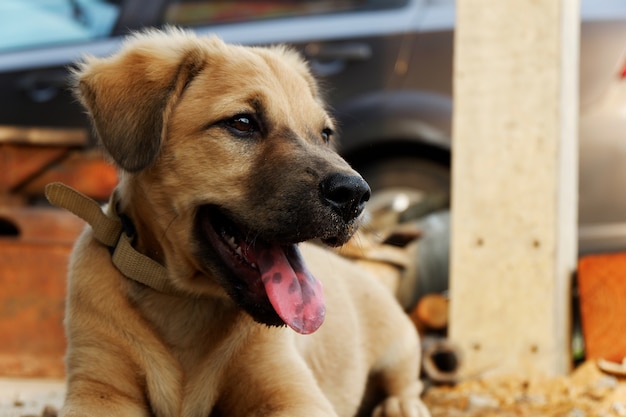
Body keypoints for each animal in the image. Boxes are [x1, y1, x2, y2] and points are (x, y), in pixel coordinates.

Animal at [57, 29, 428, 416]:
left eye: (325, 134)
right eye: (242, 123)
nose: (355, 195)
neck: (183, 300)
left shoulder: (292, 392)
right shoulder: (98, 387)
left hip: (400, 343)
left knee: (407, 381)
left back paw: (403, 405)